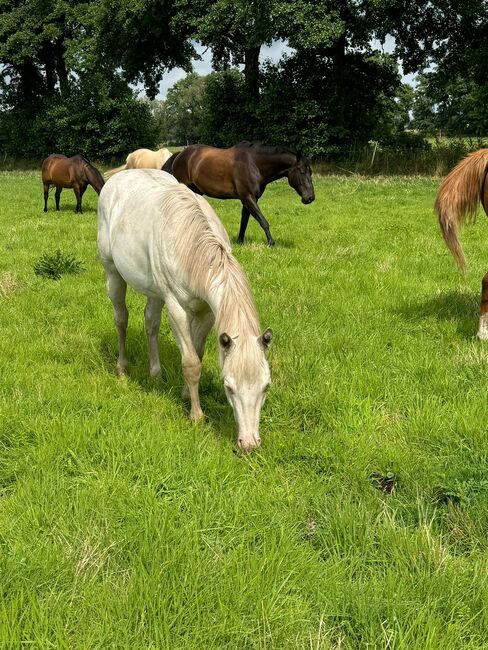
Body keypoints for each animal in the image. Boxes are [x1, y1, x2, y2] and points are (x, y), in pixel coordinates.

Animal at [97, 168, 272, 450]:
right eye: (228, 387)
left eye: (266, 386)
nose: (249, 443)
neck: (190, 245)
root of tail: (119, 176)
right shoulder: (176, 308)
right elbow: (190, 362)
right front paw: (196, 416)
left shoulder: (206, 312)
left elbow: (197, 354)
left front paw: (184, 394)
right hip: (113, 273)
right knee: (121, 319)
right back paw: (122, 368)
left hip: (154, 292)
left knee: (150, 323)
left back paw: (155, 374)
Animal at [162, 140, 314, 244]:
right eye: (302, 171)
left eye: (311, 172)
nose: (310, 198)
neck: (253, 164)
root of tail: (180, 154)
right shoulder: (248, 197)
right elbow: (263, 221)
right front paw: (271, 243)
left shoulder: (250, 199)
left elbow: (244, 221)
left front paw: (240, 241)